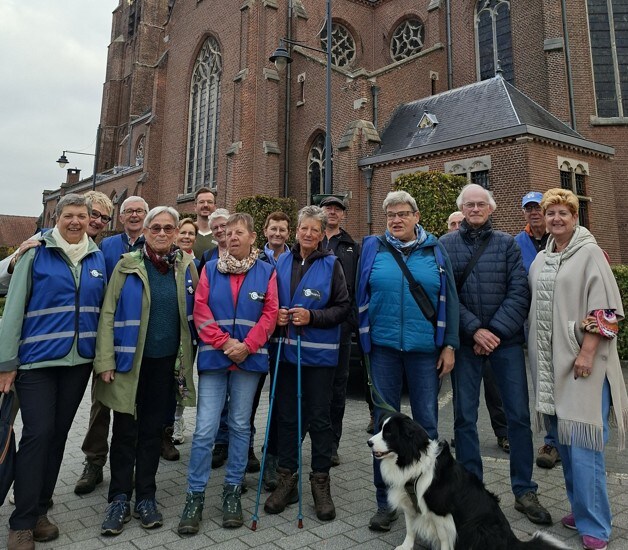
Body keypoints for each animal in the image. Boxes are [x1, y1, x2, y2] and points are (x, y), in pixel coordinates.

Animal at [368, 413, 570, 550]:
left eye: (389, 433)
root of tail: (511, 541)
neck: (412, 461)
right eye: (380, 429)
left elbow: (443, 538)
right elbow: (410, 528)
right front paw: (406, 546)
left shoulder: (441, 512)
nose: (369, 442)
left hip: (476, 527)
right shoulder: (408, 501)